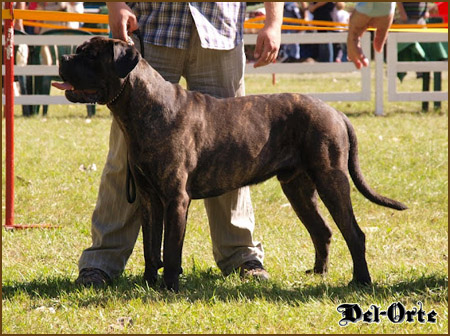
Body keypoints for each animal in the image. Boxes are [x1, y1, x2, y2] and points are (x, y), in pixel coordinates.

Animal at [53, 36, 408, 292]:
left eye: (90, 56)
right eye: (79, 52)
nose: (64, 58)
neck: (142, 108)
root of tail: (335, 112)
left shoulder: (176, 199)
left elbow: (171, 249)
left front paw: (169, 288)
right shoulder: (149, 199)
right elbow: (152, 248)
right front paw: (148, 284)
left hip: (330, 180)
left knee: (354, 233)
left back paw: (360, 281)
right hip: (298, 188)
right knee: (322, 230)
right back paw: (318, 273)